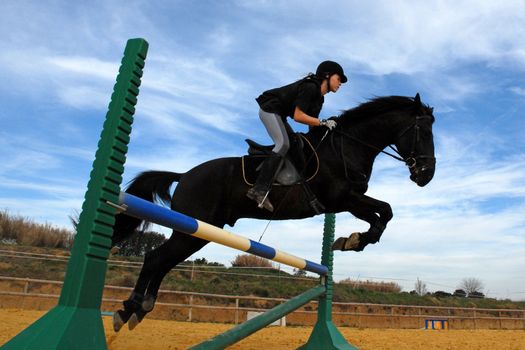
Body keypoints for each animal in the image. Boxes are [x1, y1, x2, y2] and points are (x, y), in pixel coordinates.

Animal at [112, 93, 436, 330]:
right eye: (422, 131)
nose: (426, 175)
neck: (346, 148)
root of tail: (184, 175)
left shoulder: (347, 201)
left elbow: (383, 214)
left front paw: (351, 241)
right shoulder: (343, 199)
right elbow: (384, 212)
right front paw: (353, 240)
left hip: (198, 232)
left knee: (163, 261)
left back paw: (140, 308)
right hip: (194, 228)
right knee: (156, 258)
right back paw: (129, 308)